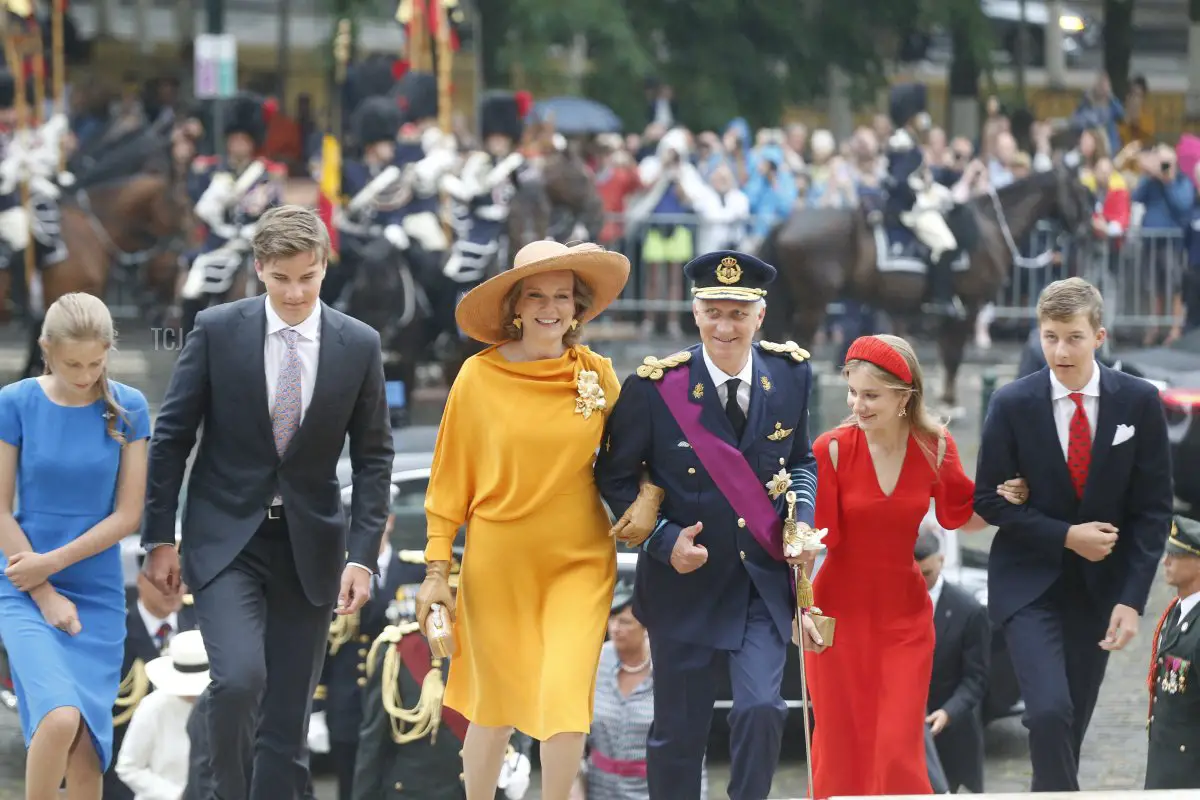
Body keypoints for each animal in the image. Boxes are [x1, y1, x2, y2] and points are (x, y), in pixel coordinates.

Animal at [763, 166, 1094, 410]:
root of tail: (785, 223)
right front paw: (950, 402)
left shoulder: (952, 311)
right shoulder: (968, 306)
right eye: (1082, 191)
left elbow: (947, 352)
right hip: (813, 304)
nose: (1090, 232)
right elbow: (954, 354)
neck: (989, 229)